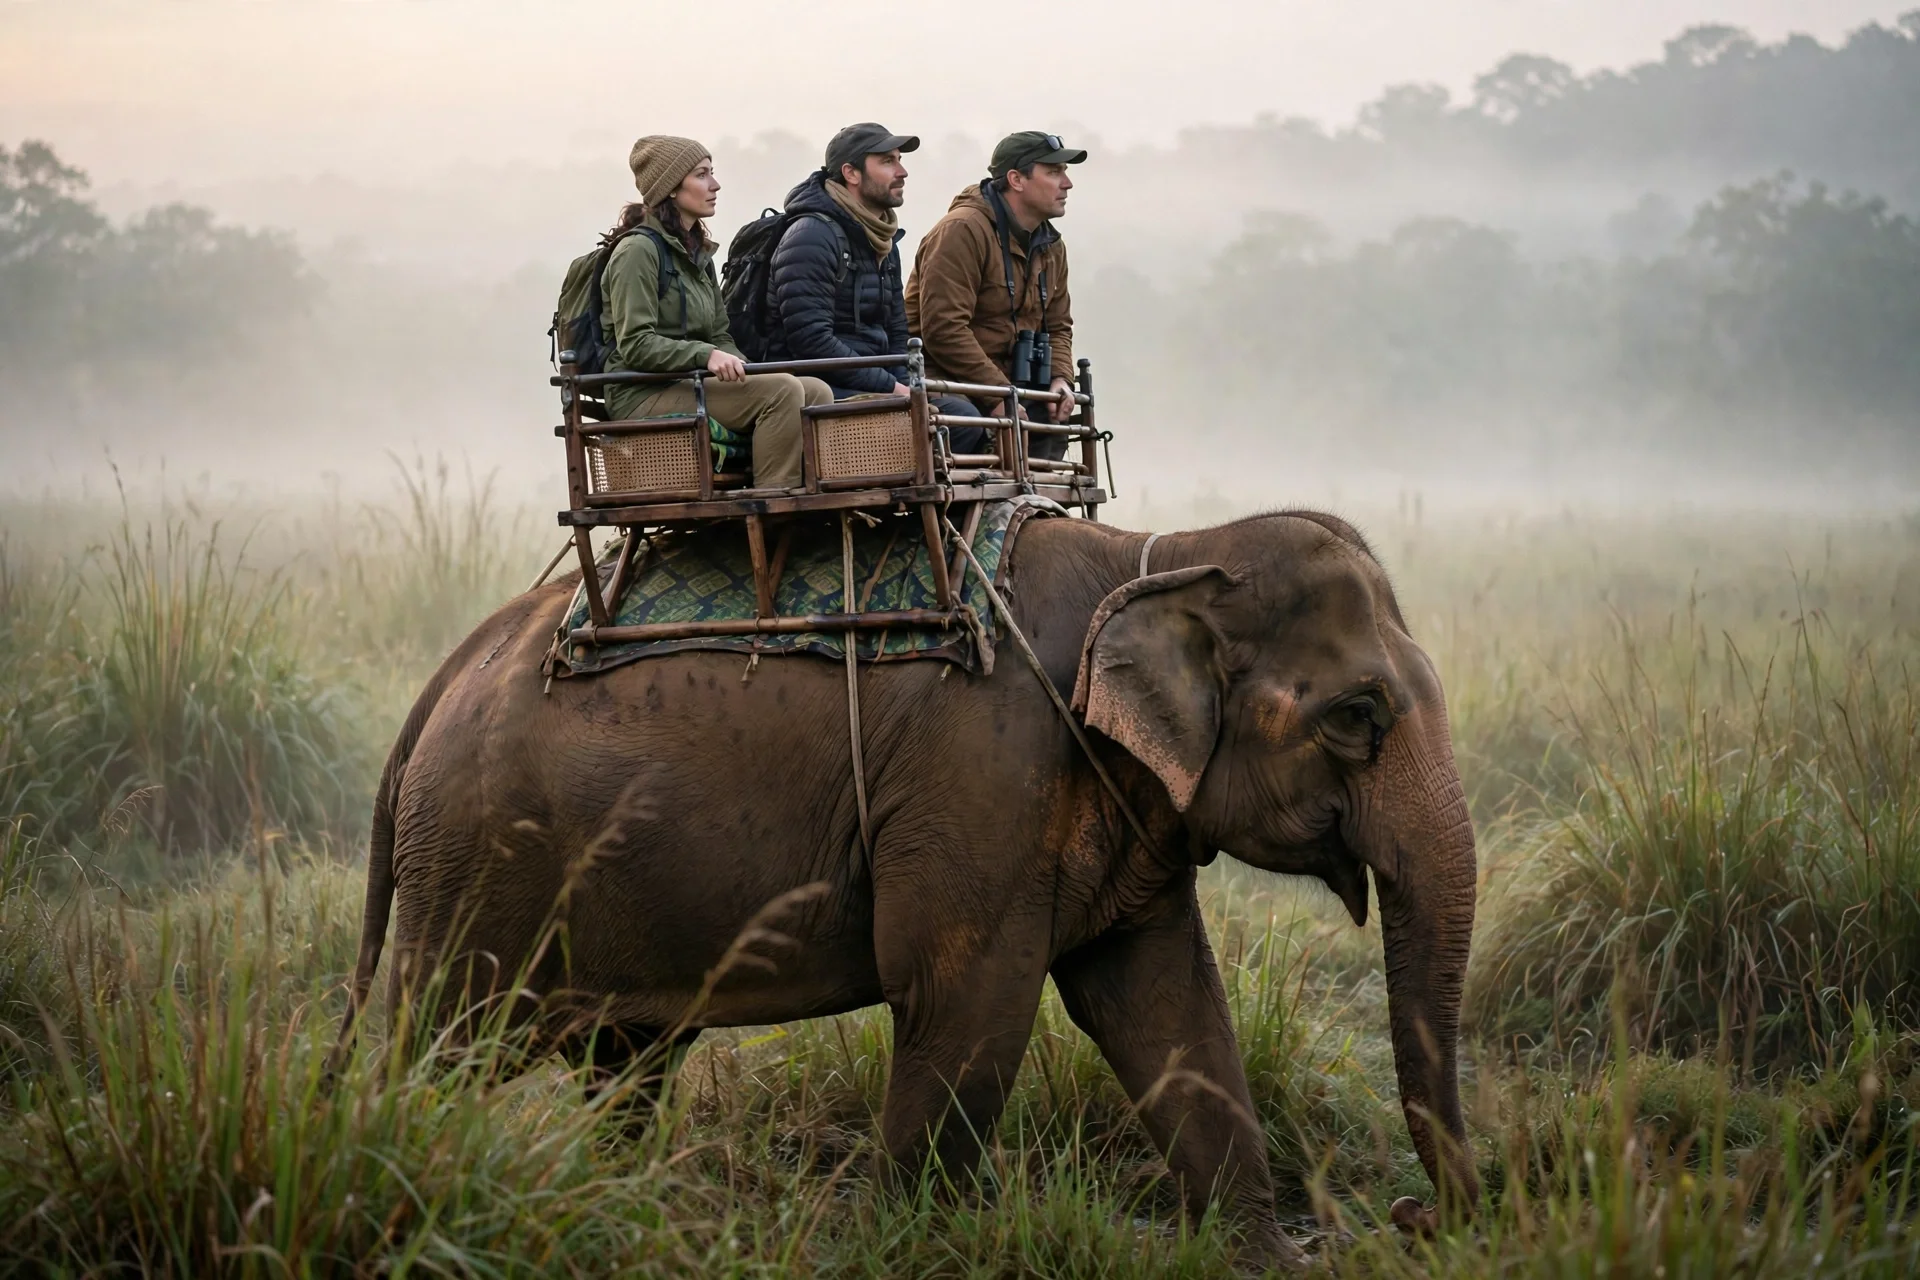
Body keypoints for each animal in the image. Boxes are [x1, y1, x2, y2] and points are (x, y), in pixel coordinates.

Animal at [335, 508, 1481, 1267]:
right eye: (1358, 715)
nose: (1412, 1218)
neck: (1160, 554)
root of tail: (440, 681)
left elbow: (1167, 1005)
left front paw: (1260, 1261)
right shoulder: (979, 770)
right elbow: (968, 1005)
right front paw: (904, 1248)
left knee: (630, 1062)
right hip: (475, 864)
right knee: (443, 1044)